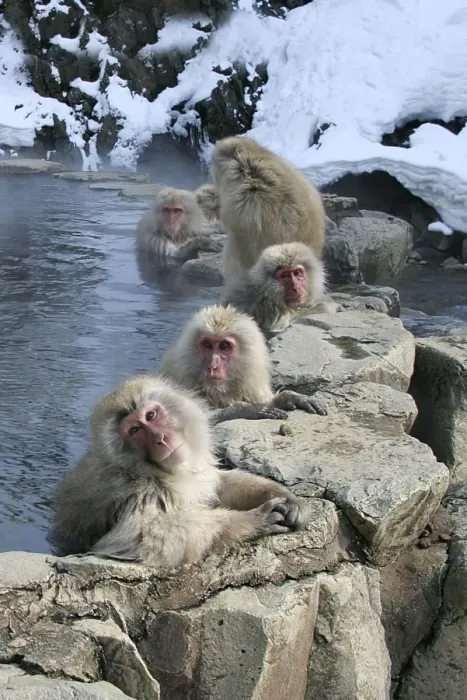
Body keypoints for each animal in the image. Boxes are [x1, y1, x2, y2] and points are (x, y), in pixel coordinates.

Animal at [47, 374, 308, 569]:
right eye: (135, 430)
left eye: (151, 415)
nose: (161, 438)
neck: (159, 471)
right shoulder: (136, 489)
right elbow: (145, 537)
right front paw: (253, 521)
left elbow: (218, 486)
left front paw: (284, 496)